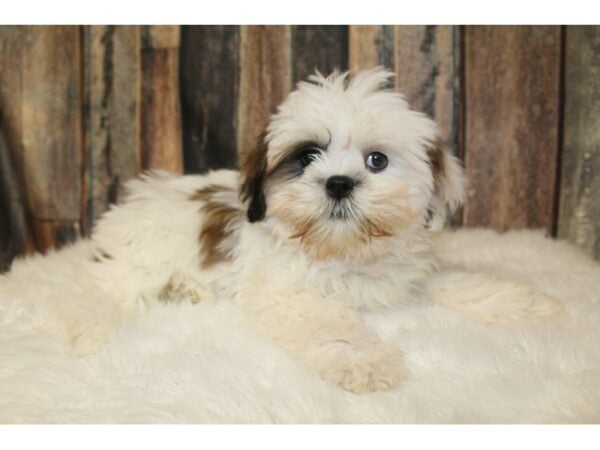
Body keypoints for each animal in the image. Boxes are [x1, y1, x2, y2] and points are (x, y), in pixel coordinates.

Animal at [86, 67, 564, 394]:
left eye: (377, 160)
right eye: (307, 156)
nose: (338, 182)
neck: (343, 251)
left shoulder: (406, 279)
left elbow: (459, 283)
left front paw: (525, 305)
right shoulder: (291, 295)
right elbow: (330, 325)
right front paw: (365, 363)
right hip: (141, 260)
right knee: (106, 288)